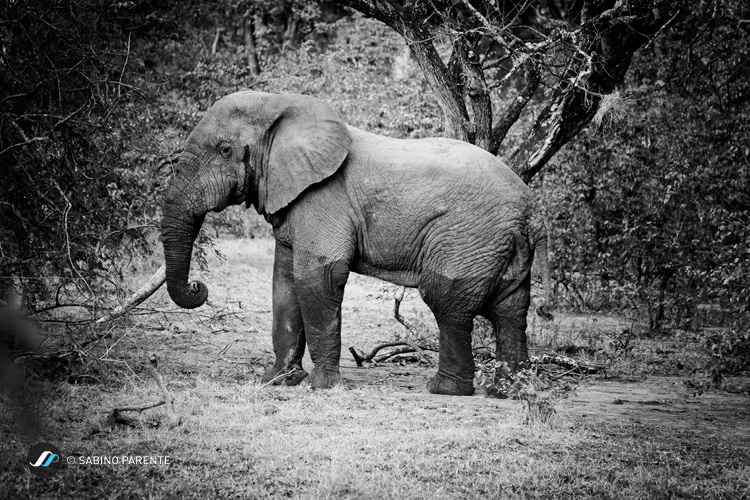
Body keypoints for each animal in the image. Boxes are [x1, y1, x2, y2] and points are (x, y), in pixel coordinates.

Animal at [161, 90, 549, 396]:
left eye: (225, 150)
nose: (198, 286)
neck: (281, 105)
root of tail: (530, 207)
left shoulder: (323, 198)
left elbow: (319, 275)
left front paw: (320, 387)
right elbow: (284, 282)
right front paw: (276, 381)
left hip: (467, 235)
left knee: (447, 300)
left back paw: (445, 390)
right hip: (502, 244)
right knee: (511, 311)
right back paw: (509, 392)